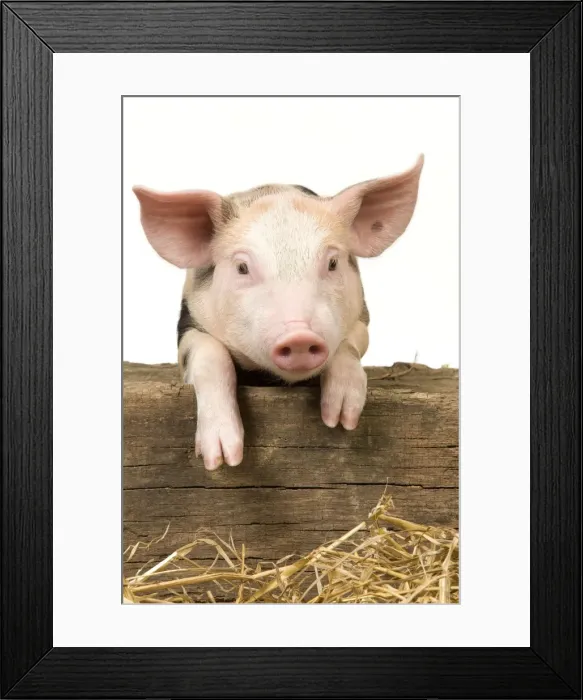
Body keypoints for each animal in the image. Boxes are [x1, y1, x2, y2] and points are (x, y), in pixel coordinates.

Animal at [133, 155, 424, 471]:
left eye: (333, 263)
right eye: (242, 267)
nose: (299, 336)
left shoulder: (362, 316)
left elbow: (349, 345)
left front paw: (341, 419)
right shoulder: (189, 322)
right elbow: (210, 356)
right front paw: (222, 459)